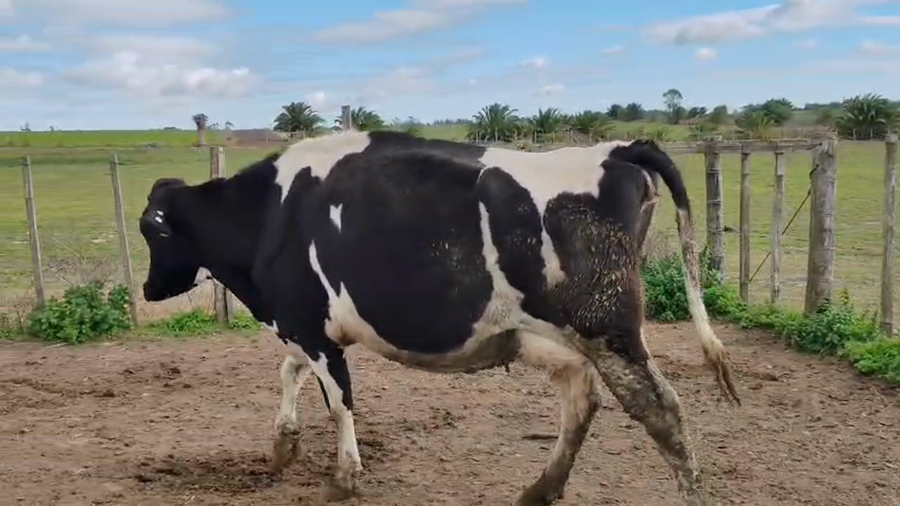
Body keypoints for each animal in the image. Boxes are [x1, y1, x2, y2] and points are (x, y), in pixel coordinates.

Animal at [138, 130, 740, 506]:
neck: (267, 215)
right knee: (581, 401)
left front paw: (343, 478)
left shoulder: (308, 323)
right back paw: (538, 489)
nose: (146, 288)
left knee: (661, 411)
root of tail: (617, 150)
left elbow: (339, 402)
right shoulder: (306, 325)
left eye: (152, 230)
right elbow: (291, 373)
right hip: (554, 336)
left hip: (606, 326)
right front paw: (283, 445)